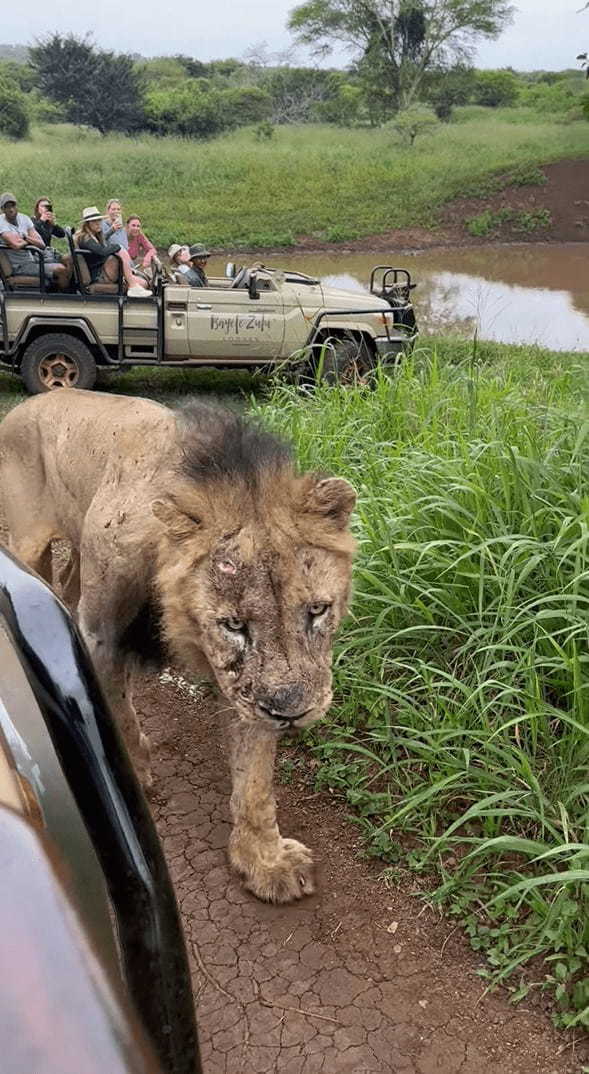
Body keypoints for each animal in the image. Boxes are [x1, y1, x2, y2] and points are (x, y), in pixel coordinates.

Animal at [0, 390, 356, 902]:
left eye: (317, 610)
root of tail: (38, 397)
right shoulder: (101, 635)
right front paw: (135, 773)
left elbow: (254, 781)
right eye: (233, 624)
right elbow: (118, 714)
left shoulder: (247, 688)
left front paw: (263, 860)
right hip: (27, 542)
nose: (292, 712)